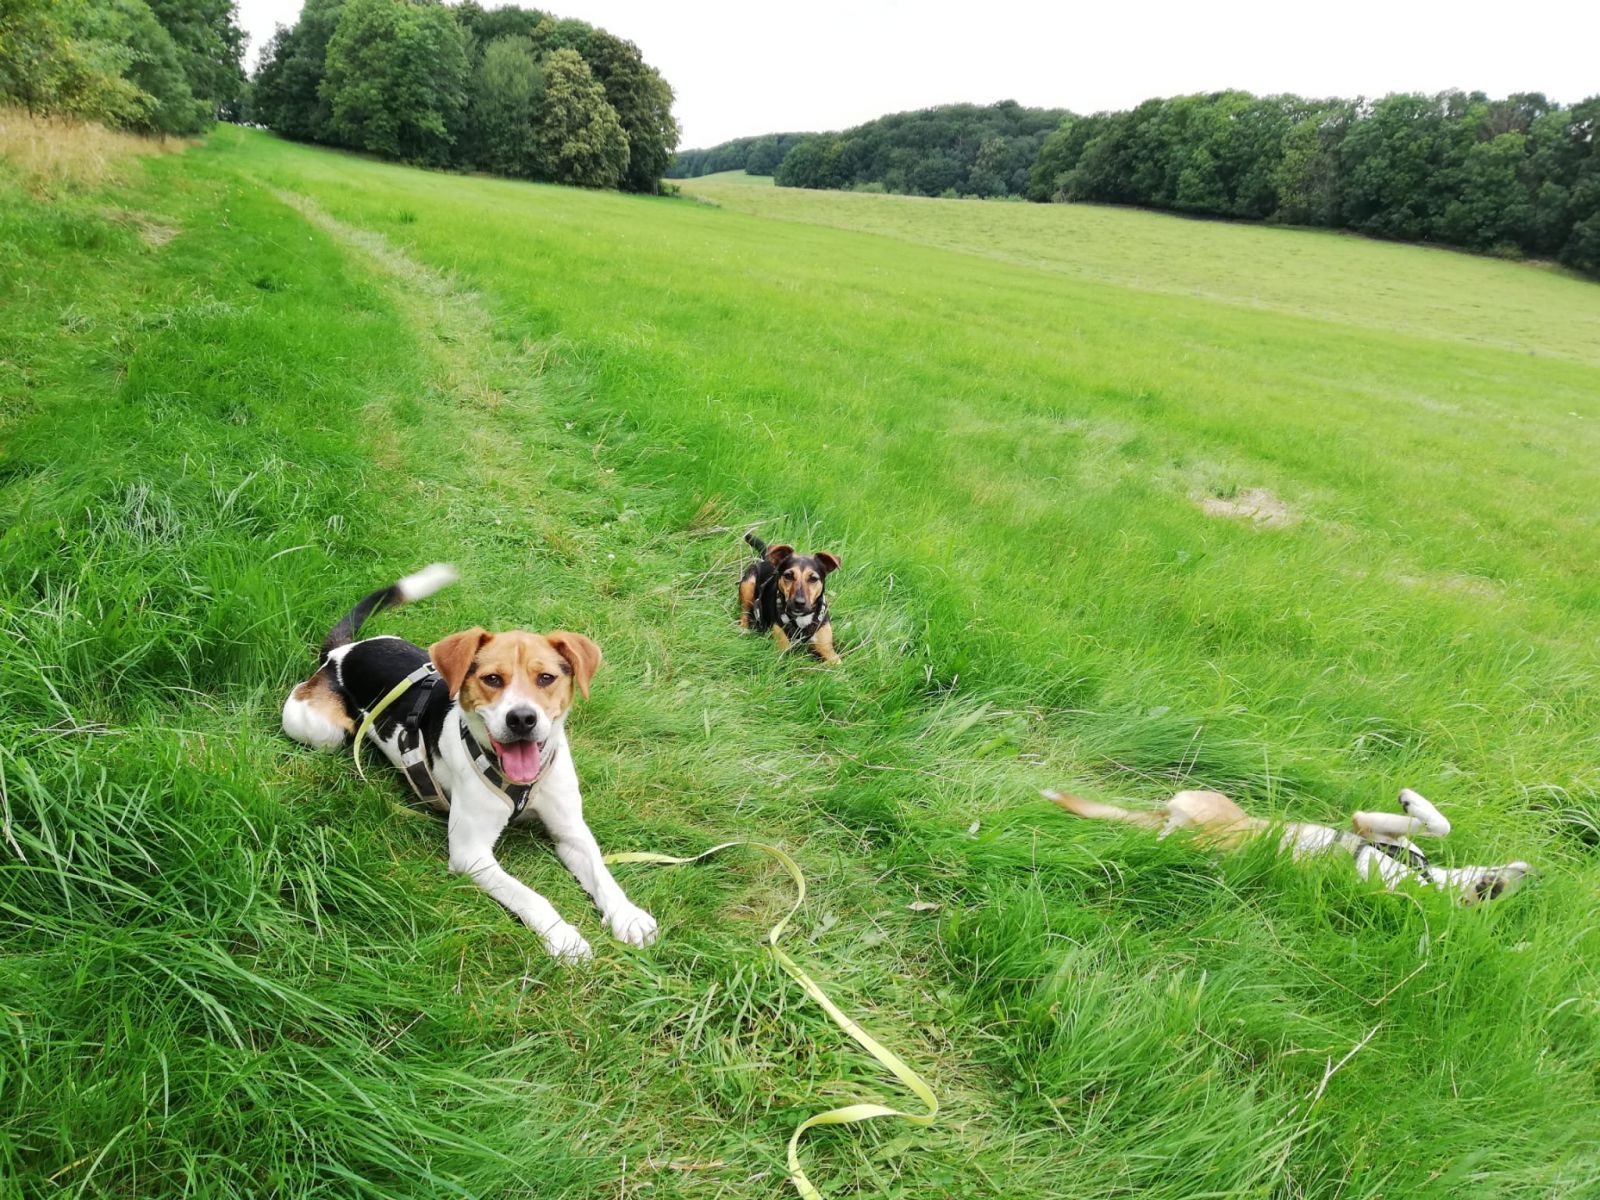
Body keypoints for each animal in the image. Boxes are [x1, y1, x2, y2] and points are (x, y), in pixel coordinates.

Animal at [281, 565, 657, 960]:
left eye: (546, 678)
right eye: (492, 678)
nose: (522, 719)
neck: (521, 782)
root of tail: (341, 653)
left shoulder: (570, 831)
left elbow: (602, 872)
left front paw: (628, 915)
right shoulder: (470, 854)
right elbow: (530, 896)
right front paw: (565, 938)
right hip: (321, 731)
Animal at [738, 532, 842, 663]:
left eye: (813, 579)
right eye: (788, 576)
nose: (799, 603)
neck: (801, 619)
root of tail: (767, 559)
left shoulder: (830, 653)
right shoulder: (781, 651)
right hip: (748, 584)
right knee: (744, 611)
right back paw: (743, 629)